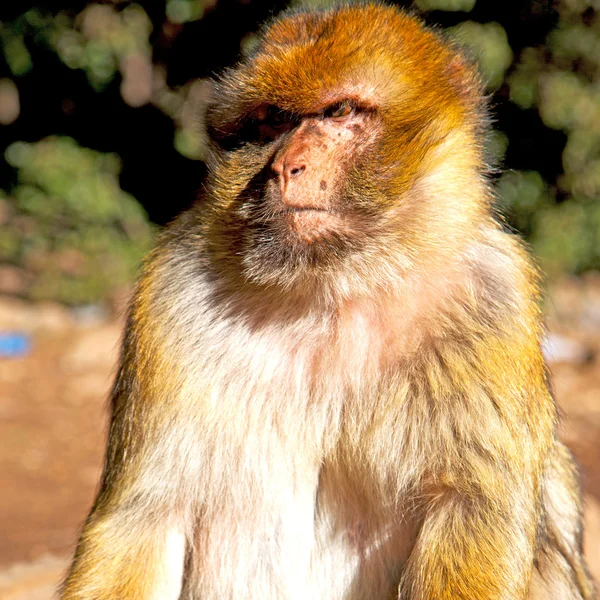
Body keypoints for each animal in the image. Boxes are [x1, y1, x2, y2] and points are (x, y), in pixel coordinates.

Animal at [58, 4, 592, 600]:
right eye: (271, 122)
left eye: (339, 112)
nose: (285, 167)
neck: (333, 289)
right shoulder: (171, 293)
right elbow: (145, 518)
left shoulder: (498, 299)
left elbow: (474, 508)